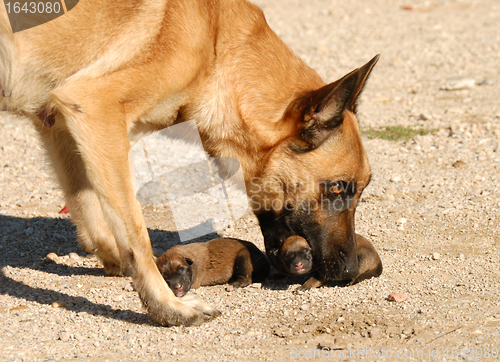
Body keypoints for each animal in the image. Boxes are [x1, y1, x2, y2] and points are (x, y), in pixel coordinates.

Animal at [0, 0, 382, 326]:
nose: (351, 271)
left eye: (360, 190)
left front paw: (113, 258)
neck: (216, 46)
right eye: (337, 188)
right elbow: (137, 236)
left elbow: (87, 203)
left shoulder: (60, 123)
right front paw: (168, 307)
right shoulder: (95, 108)